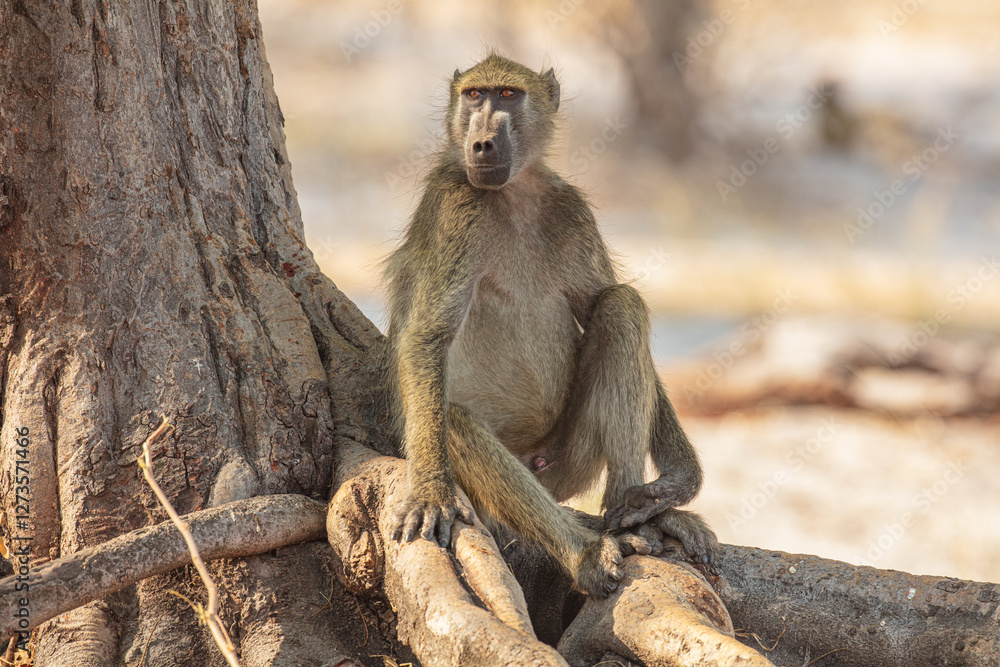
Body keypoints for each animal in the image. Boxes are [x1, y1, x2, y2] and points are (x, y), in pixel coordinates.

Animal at [383, 54, 717, 598]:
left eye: (508, 95)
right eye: (474, 95)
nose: (482, 142)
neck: (514, 193)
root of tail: (534, 459)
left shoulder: (572, 210)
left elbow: (599, 300)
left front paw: (677, 482)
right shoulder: (457, 210)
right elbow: (429, 337)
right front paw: (431, 491)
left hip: (566, 463)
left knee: (622, 307)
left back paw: (634, 516)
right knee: (455, 420)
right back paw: (586, 555)